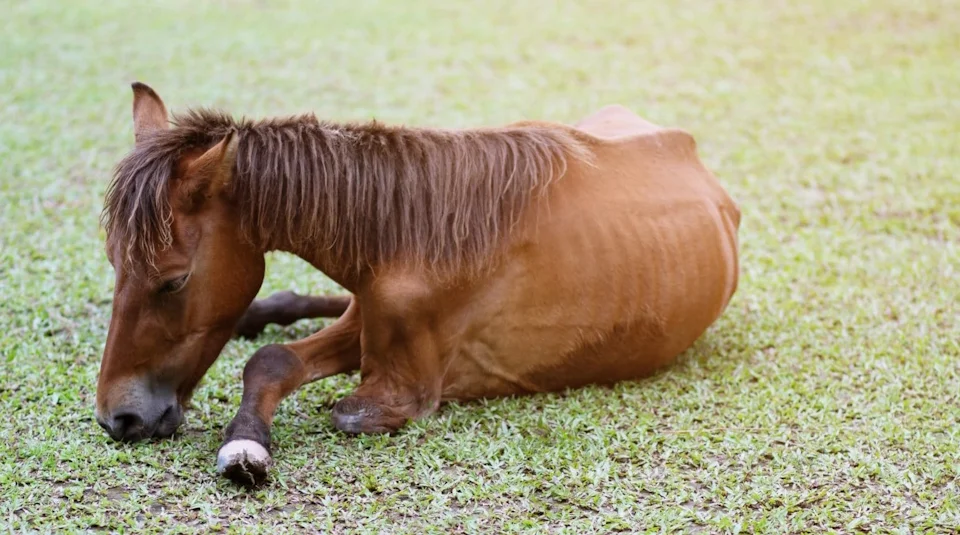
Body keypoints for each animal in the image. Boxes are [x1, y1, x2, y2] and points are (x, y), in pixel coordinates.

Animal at [96, 82, 741, 485]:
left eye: (173, 282)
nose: (116, 419)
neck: (414, 235)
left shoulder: (401, 390)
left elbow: (340, 409)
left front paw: (245, 447)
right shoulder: (365, 320)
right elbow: (272, 361)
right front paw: (246, 440)